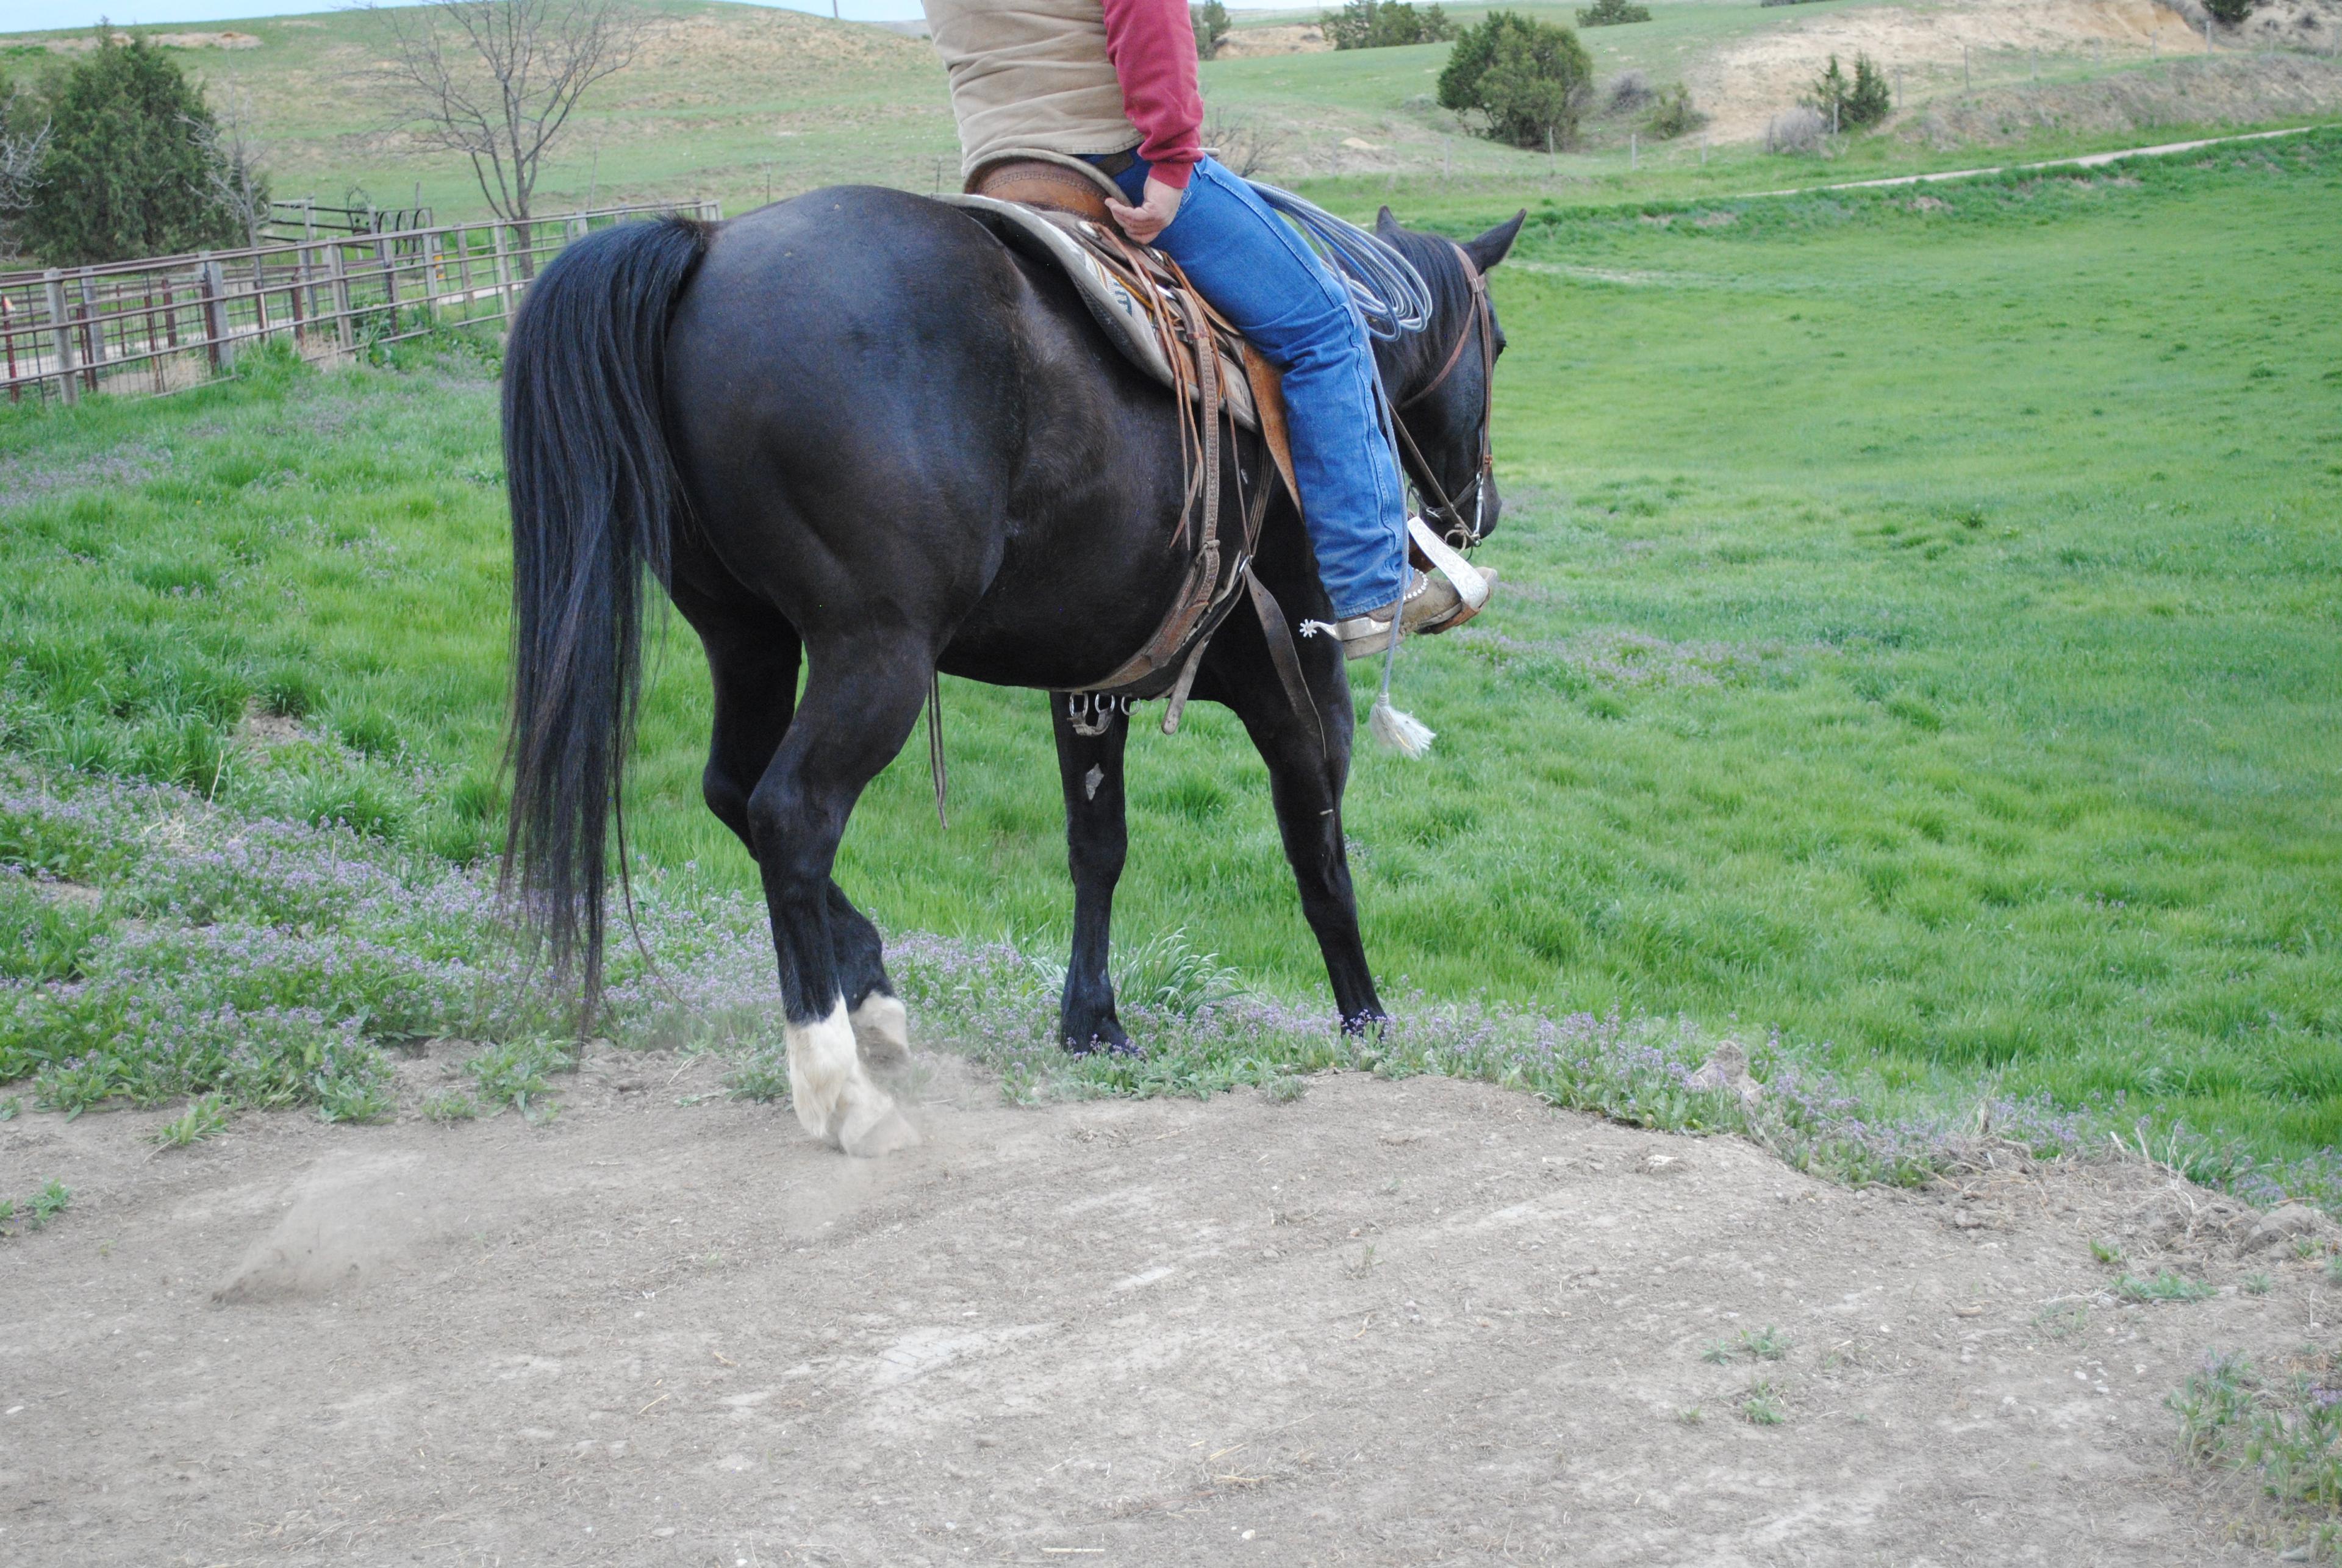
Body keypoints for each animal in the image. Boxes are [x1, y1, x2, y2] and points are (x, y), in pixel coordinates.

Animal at [498, 190, 1517, 1161]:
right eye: (1498, 342)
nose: (1482, 510)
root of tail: (709, 250)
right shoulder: (1300, 683)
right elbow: (1322, 859)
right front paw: (1366, 1019)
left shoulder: (1089, 687)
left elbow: (1098, 848)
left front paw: (1093, 1021)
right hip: (877, 653)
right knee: (789, 813)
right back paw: (839, 1085)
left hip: (747, 637)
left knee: (731, 787)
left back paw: (872, 989)